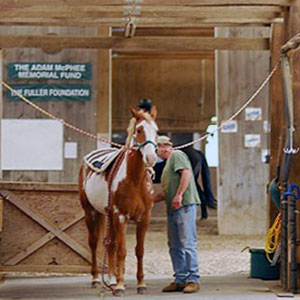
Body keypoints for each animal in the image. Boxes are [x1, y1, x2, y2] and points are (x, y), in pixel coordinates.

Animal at [78, 105, 158, 296]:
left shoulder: (144, 218)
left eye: (156, 131)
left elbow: (139, 251)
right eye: (139, 130)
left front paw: (141, 284)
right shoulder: (121, 216)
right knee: (94, 243)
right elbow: (122, 250)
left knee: (110, 245)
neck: (134, 180)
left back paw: (112, 280)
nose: (151, 158)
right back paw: (97, 279)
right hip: (90, 212)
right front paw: (121, 286)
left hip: (108, 216)